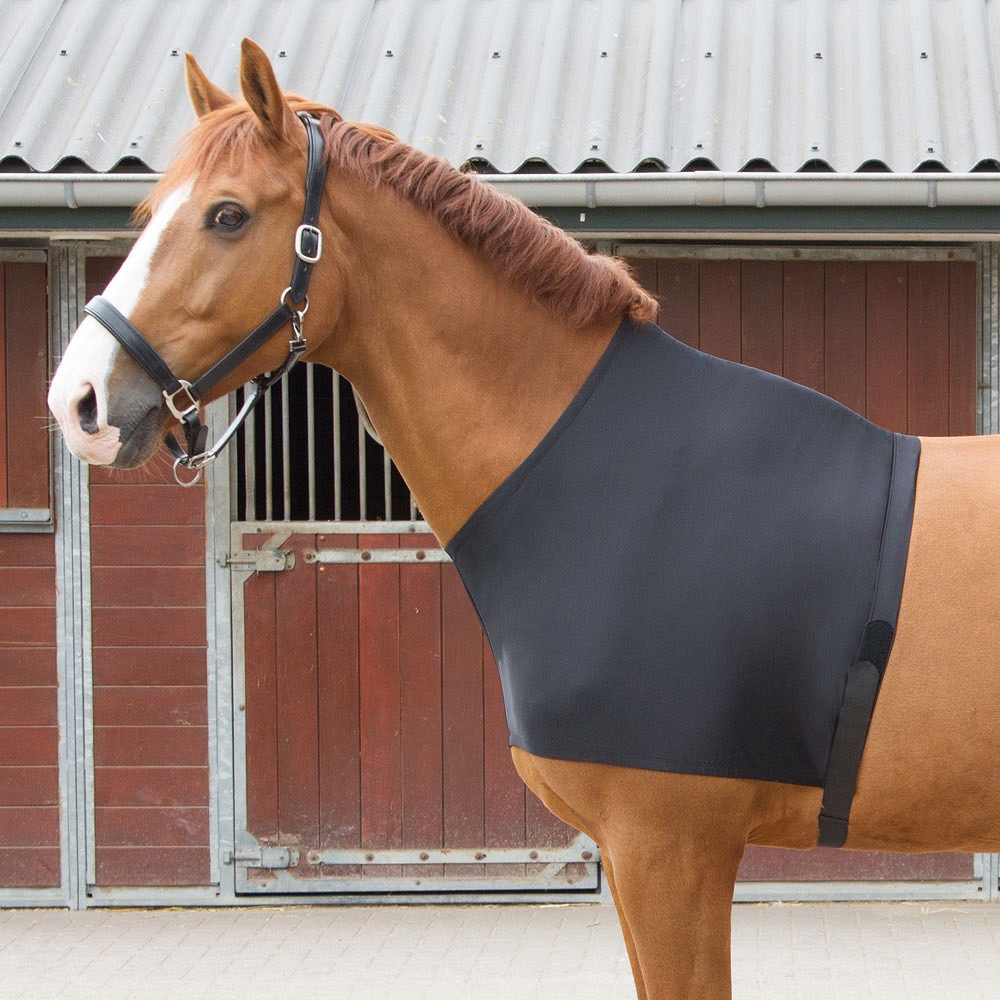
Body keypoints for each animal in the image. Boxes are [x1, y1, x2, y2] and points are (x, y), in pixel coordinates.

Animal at [47, 39, 1000, 1000]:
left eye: (228, 215)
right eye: (148, 210)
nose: (79, 401)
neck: (616, 482)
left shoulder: (670, 849)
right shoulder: (643, 857)